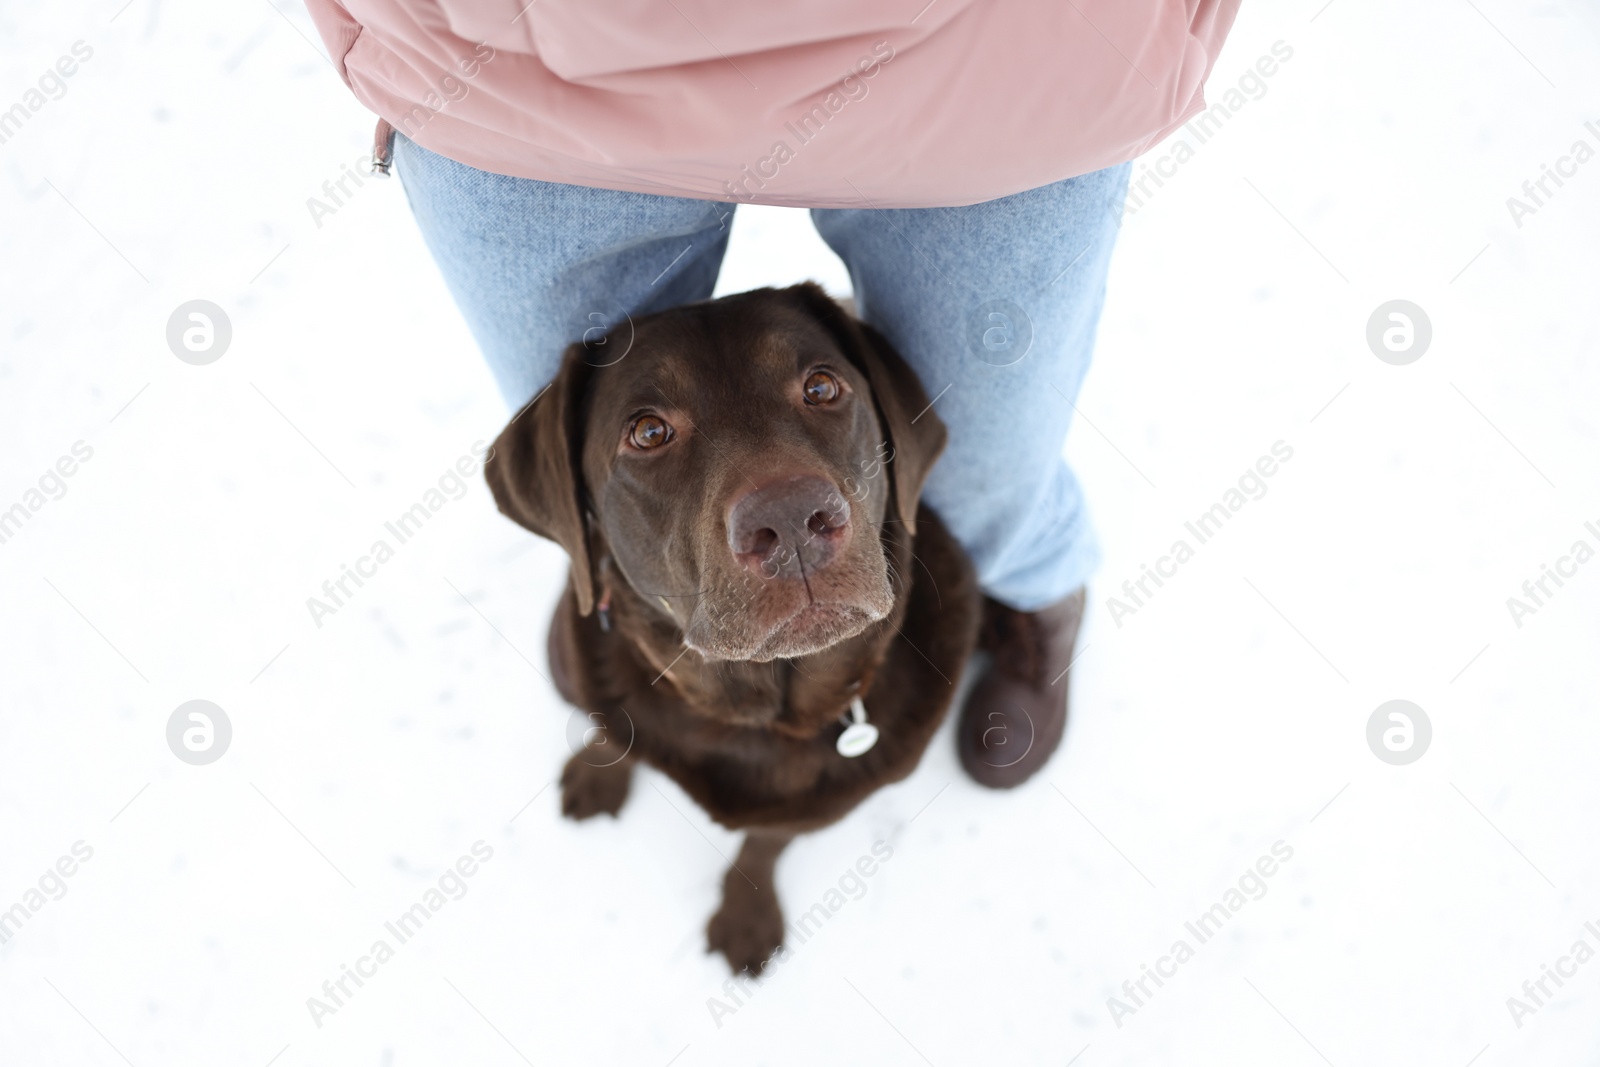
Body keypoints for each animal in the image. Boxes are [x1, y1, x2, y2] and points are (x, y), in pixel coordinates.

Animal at [480, 283, 979, 979]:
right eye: (648, 431)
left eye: (821, 387)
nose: (793, 519)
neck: (754, 712)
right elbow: (612, 730)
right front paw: (598, 770)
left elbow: (766, 842)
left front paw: (746, 917)